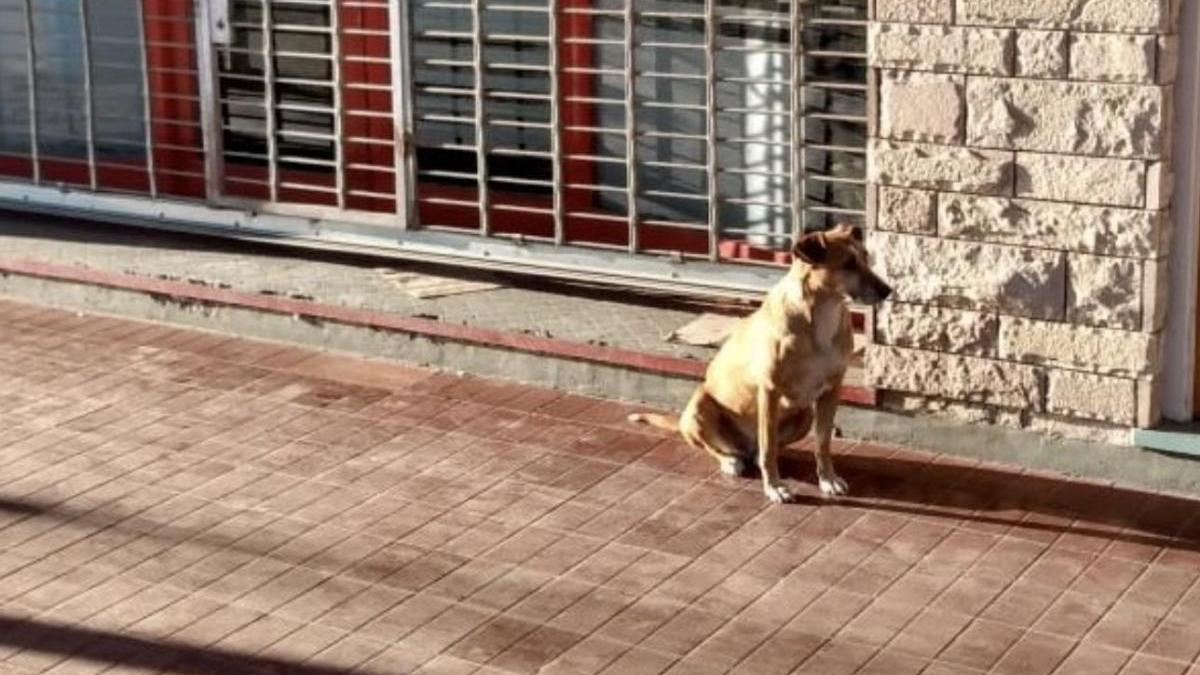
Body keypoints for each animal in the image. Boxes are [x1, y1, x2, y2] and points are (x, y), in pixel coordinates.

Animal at [638, 223, 892, 502]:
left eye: (866, 257)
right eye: (848, 264)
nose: (887, 290)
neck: (822, 314)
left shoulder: (832, 389)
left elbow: (823, 442)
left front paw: (828, 479)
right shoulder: (770, 391)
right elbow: (769, 445)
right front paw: (774, 487)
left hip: (805, 414)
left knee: (763, 449)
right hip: (699, 405)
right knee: (719, 447)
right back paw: (730, 460)